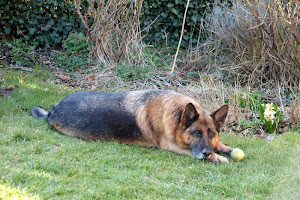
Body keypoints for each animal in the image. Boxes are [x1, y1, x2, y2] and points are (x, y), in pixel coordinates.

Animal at [32, 90, 234, 163]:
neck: (176, 116)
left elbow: (221, 145)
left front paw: (228, 150)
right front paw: (218, 157)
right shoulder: (172, 146)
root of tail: (52, 110)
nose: (207, 152)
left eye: (211, 133)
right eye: (197, 133)